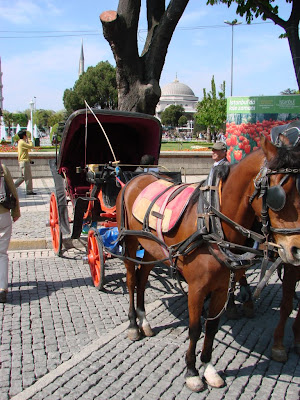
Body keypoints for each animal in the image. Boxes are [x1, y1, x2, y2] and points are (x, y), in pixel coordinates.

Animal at [115, 137, 300, 390]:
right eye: (277, 195)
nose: (296, 249)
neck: (213, 224)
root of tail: (135, 178)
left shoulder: (221, 287)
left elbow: (211, 327)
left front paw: (208, 367)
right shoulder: (197, 288)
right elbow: (194, 329)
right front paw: (192, 371)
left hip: (152, 249)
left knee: (143, 279)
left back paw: (144, 320)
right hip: (130, 242)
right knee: (132, 280)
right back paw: (133, 324)